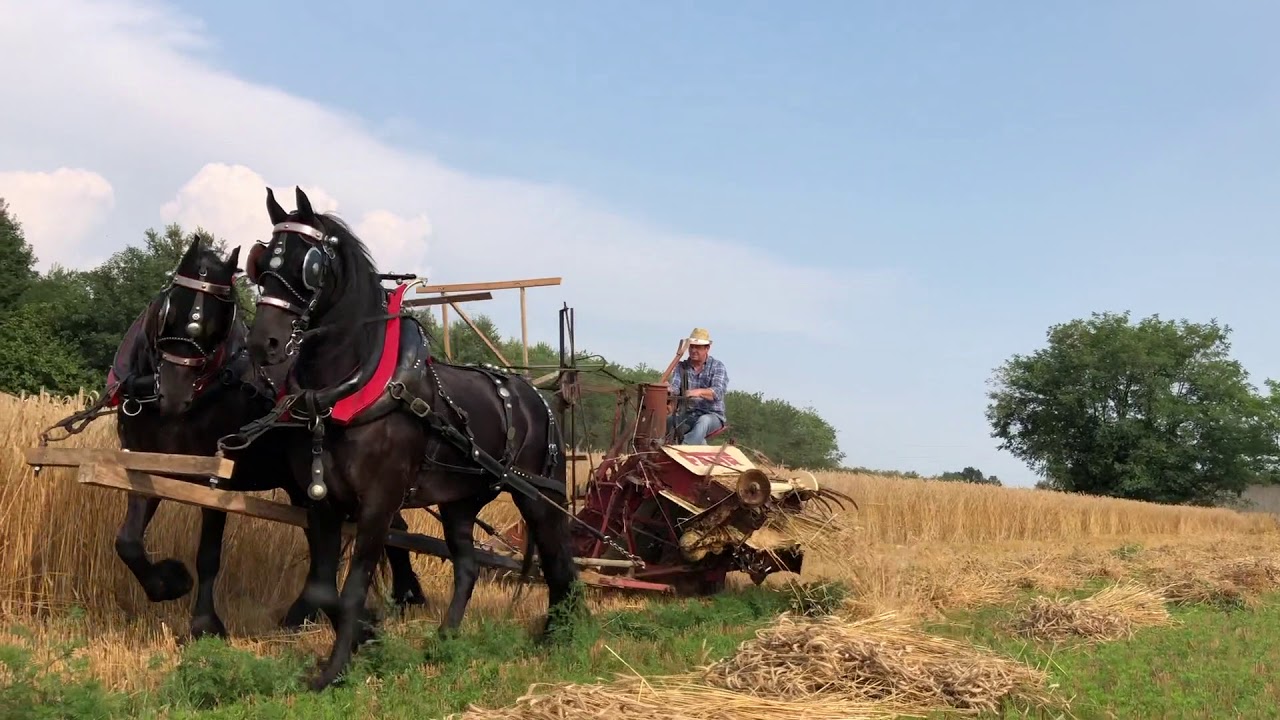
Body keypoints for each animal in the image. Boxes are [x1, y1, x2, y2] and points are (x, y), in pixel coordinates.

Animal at [85, 236, 427, 640]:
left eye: (223, 314)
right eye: (171, 304)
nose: (174, 392)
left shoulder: (215, 480)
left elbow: (208, 556)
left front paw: (205, 623)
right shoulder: (143, 465)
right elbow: (128, 542)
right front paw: (169, 583)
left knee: (391, 527)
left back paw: (404, 595)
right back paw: (307, 613)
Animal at [233, 186, 583, 691]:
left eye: (310, 264)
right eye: (262, 262)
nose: (265, 343)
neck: (348, 390)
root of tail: (536, 396)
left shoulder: (380, 501)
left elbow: (353, 586)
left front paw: (335, 670)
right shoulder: (321, 502)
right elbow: (323, 587)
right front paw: (366, 635)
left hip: (535, 493)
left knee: (557, 559)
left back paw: (561, 632)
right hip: (461, 500)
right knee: (468, 566)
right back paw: (446, 638)